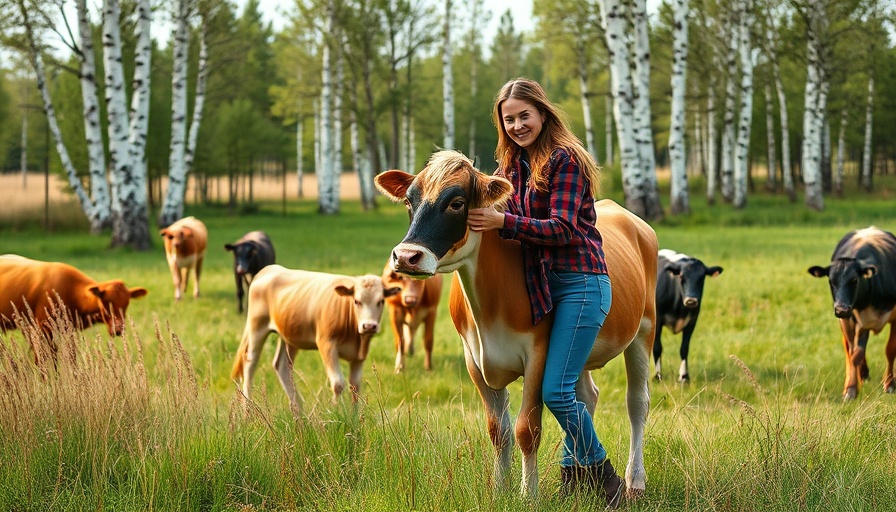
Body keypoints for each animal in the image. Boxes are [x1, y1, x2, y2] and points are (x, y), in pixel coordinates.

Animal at [229, 266, 400, 414]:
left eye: (381, 301)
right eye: (357, 301)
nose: (369, 326)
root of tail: (270, 269)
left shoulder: (359, 355)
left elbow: (355, 386)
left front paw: (355, 418)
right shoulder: (326, 343)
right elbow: (338, 383)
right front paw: (335, 413)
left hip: (289, 335)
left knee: (282, 365)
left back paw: (298, 410)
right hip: (257, 327)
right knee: (250, 363)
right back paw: (247, 410)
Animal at [372, 151, 656, 500]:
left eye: (457, 203)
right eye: (409, 201)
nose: (406, 256)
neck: (489, 312)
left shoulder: (539, 354)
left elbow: (526, 428)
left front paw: (528, 493)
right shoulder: (474, 358)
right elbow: (498, 430)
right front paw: (499, 488)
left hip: (644, 329)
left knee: (636, 403)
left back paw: (634, 481)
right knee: (584, 398)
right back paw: (579, 481)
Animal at [656, 248, 724, 384]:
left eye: (702, 278)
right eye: (682, 277)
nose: (691, 300)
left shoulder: (692, 322)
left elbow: (684, 348)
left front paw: (684, 377)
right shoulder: (657, 320)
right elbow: (657, 347)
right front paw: (657, 376)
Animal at [804, 227, 896, 400]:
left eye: (854, 280)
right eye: (831, 281)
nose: (841, 309)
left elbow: (890, 349)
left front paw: (889, 384)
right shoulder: (851, 320)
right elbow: (854, 355)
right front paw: (851, 390)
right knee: (851, 350)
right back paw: (859, 377)